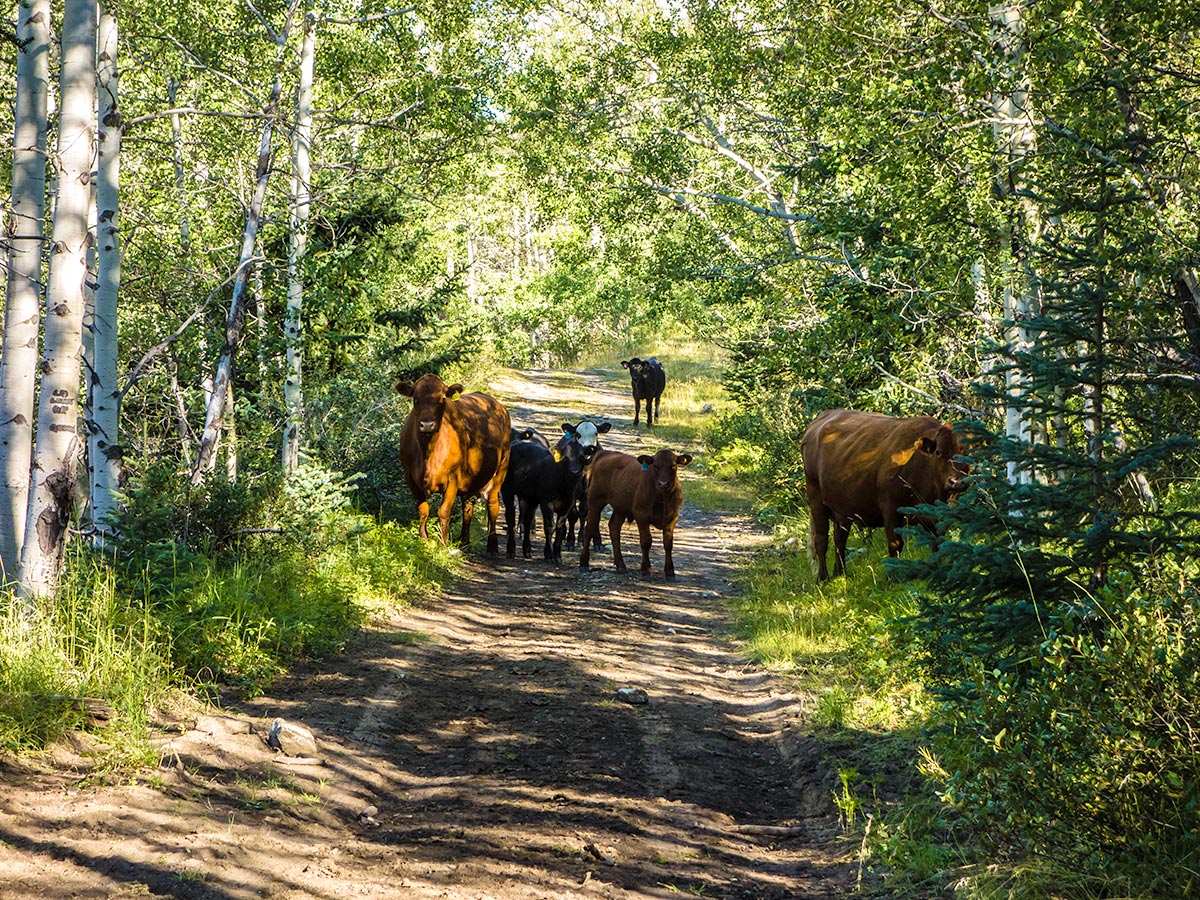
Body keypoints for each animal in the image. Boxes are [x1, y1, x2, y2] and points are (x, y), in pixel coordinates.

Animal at [398, 374, 511, 556]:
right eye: (415, 398)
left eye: (442, 399)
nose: (427, 424)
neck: (428, 453)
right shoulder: (410, 477)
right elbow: (423, 510)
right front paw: (424, 540)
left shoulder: (453, 478)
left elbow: (444, 511)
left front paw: (443, 544)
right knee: (468, 507)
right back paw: (465, 543)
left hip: (501, 470)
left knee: (493, 505)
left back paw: (492, 546)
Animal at [578, 448, 696, 580]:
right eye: (655, 465)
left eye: (673, 465)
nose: (663, 483)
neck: (662, 498)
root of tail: (606, 453)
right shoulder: (641, 514)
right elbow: (646, 541)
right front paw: (646, 570)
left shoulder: (672, 517)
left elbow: (668, 543)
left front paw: (670, 572)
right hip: (595, 501)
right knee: (589, 528)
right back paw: (584, 563)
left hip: (621, 507)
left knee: (614, 528)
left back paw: (621, 566)